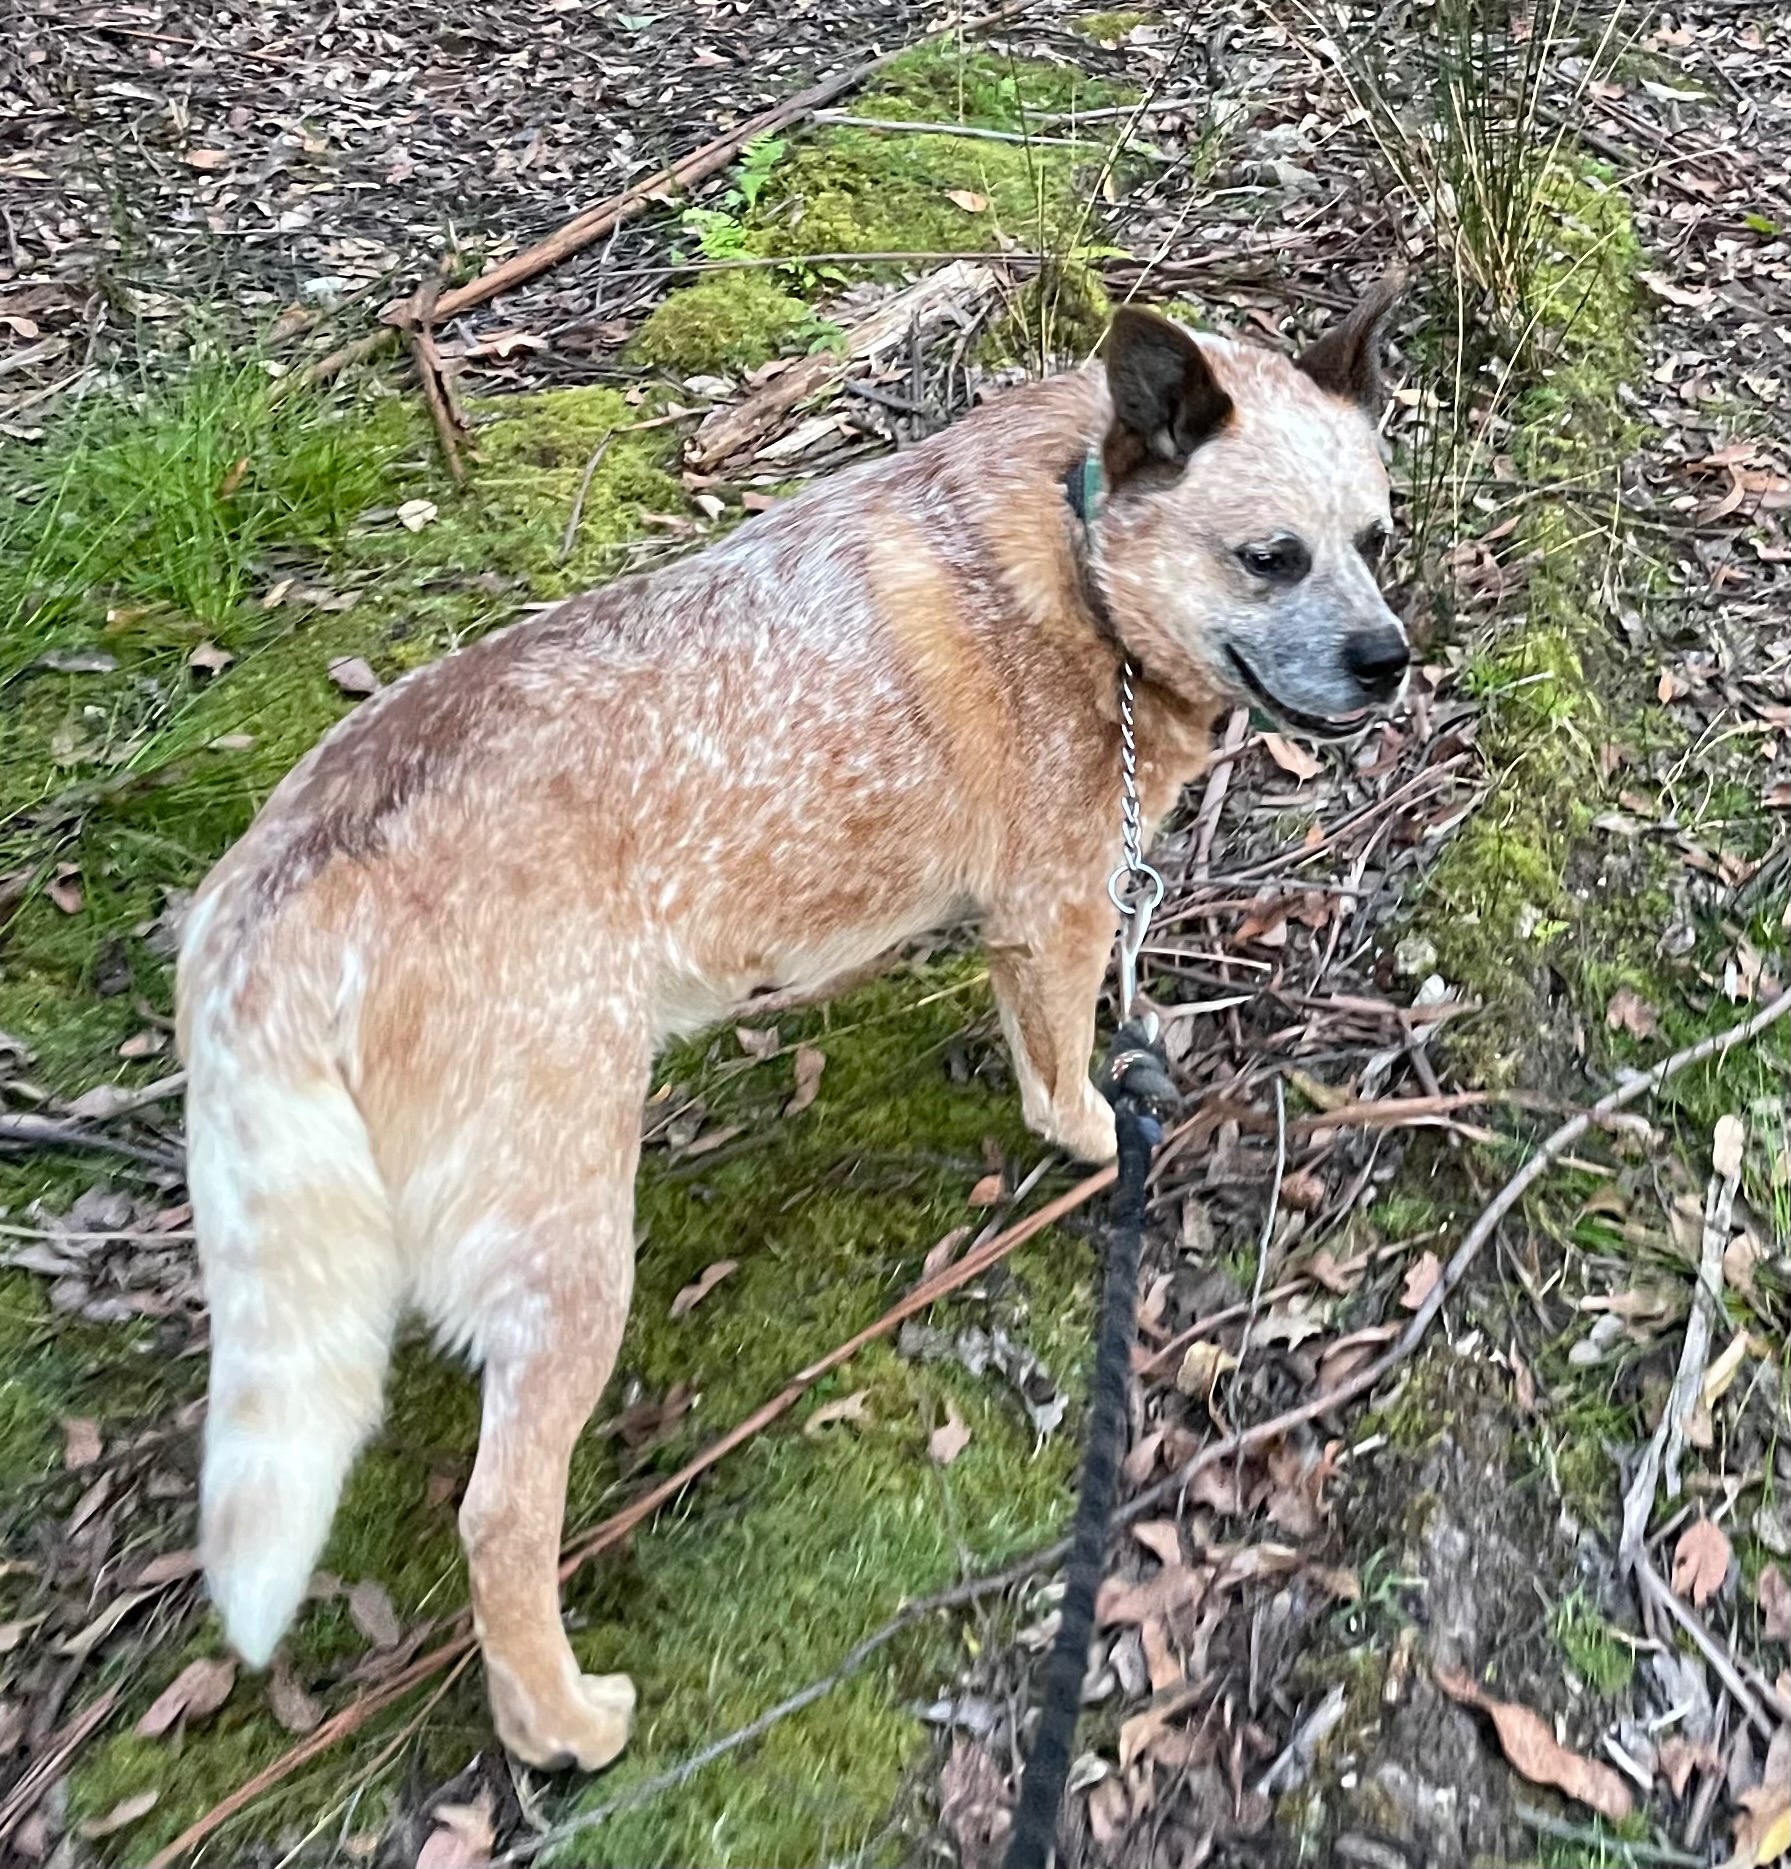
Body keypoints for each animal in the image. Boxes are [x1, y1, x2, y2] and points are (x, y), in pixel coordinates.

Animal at [176, 277, 1408, 1773]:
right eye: (1269, 559)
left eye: (1373, 538)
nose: (1391, 658)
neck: (1080, 562)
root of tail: (281, 886)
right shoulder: (1057, 905)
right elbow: (1062, 1068)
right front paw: (1099, 1133)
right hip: (568, 1247)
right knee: (499, 1516)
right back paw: (560, 1722)